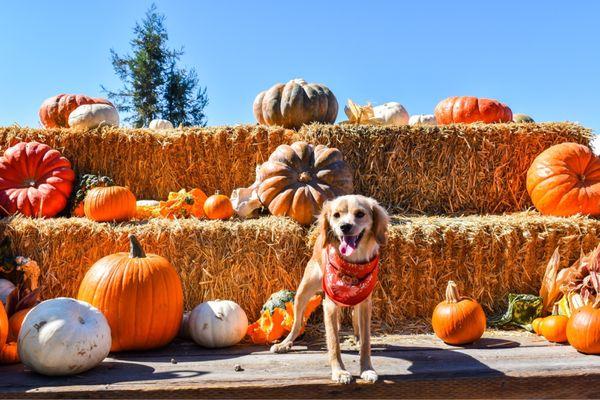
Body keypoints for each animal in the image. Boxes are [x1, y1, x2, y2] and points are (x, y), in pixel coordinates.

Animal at [270, 195, 390, 384]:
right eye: (336, 215)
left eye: (360, 214)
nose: (344, 227)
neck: (352, 266)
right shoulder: (330, 305)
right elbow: (333, 342)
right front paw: (339, 372)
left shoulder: (365, 302)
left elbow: (366, 342)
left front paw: (367, 368)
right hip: (302, 293)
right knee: (297, 324)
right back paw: (285, 344)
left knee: (355, 318)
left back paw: (356, 337)